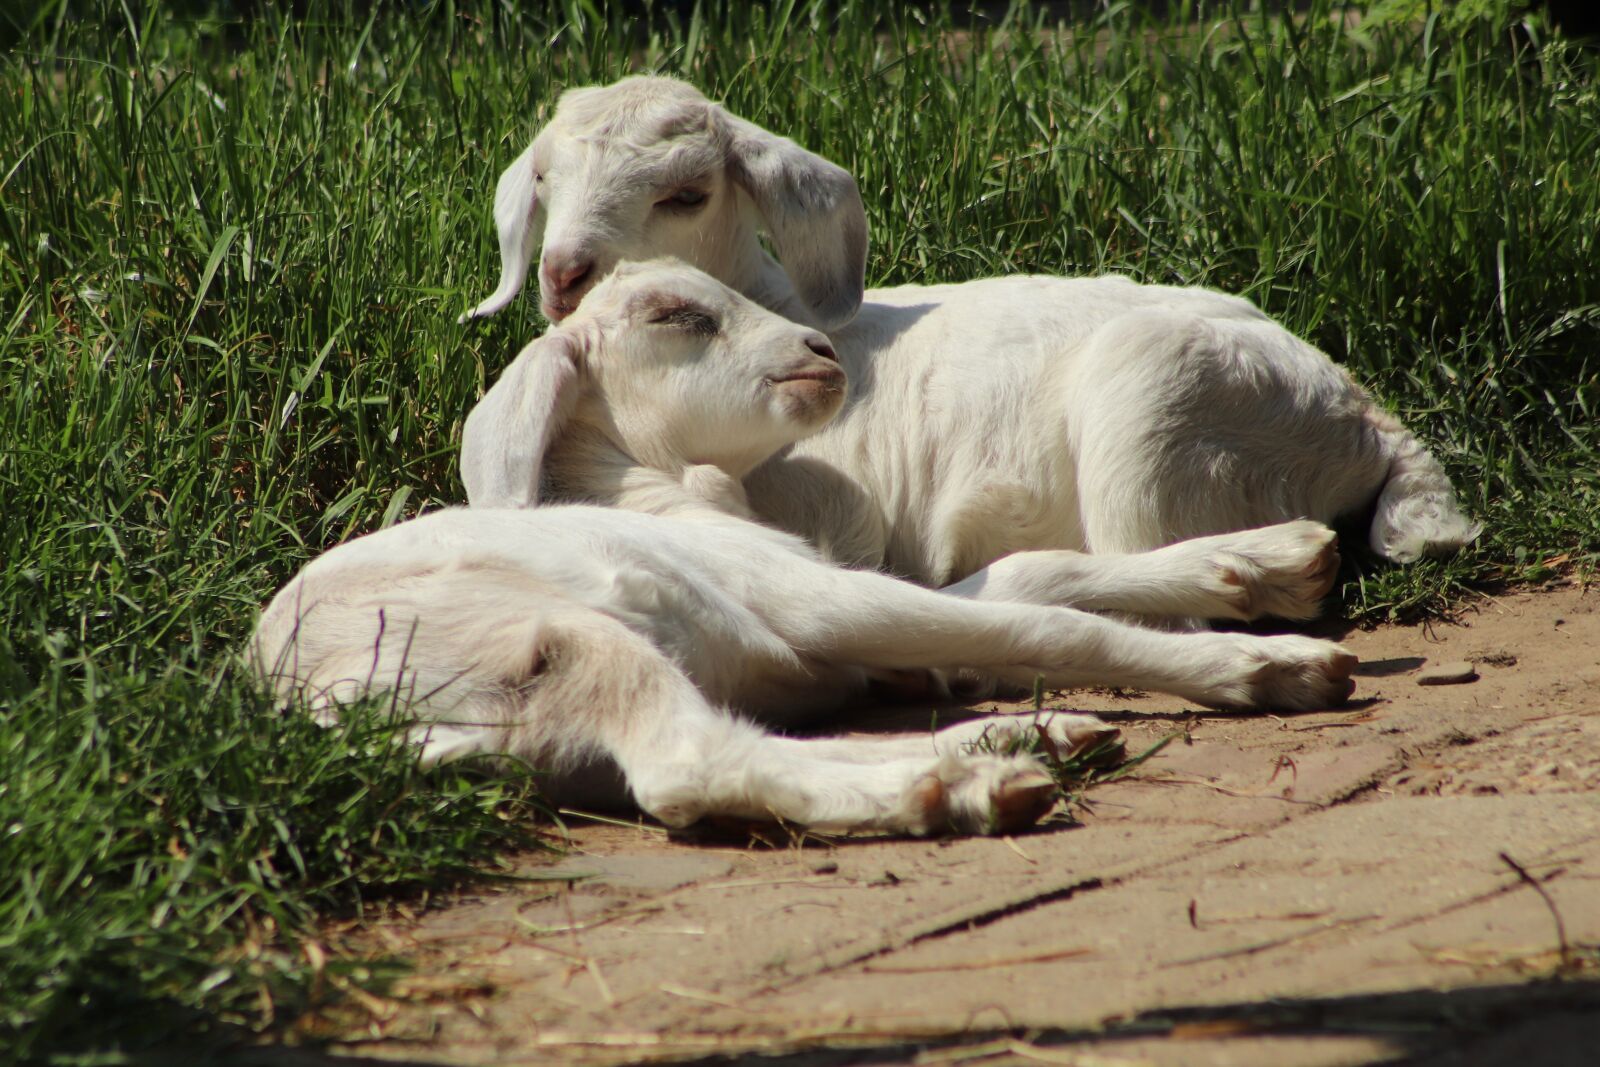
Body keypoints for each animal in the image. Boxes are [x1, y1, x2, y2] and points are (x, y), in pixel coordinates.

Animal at [255, 262, 1358, 836]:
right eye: (676, 315)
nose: (821, 353)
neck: (662, 492)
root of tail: (318, 708)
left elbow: (1017, 580)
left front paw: (1267, 560)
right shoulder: (809, 596)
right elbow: (1042, 621)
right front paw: (1267, 659)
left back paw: (1018, 743)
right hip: (551, 639)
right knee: (688, 767)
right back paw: (963, 784)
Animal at [462, 75, 1478, 587]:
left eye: (685, 193)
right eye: (544, 179)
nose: (564, 275)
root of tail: (1363, 414)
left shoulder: (835, 504)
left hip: (1160, 415)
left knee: (1144, 552)